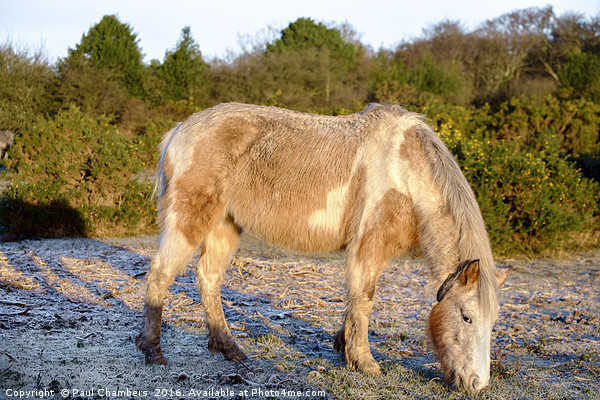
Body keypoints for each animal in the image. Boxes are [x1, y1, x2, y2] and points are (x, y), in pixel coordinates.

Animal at [137, 103, 510, 394]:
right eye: (466, 316)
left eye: (492, 323)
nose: (477, 385)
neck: (405, 168)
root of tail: (179, 131)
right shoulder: (369, 244)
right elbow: (364, 297)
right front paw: (365, 362)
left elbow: (355, 298)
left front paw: (344, 347)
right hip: (189, 221)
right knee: (160, 274)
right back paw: (152, 351)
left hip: (225, 224)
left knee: (209, 279)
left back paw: (229, 349)